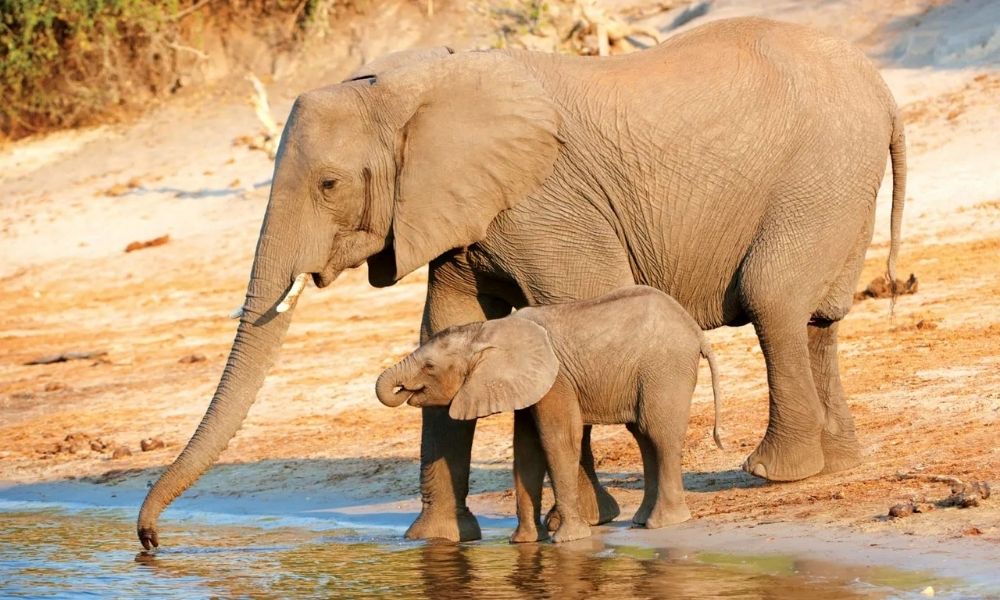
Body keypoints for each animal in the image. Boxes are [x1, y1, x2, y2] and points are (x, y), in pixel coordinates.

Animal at [376, 286, 720, 544]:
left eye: (429, 366)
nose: (403, 389)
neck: (486, 331)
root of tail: (695, 330)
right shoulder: (530, 384)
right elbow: (526, 450)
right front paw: (524, 542)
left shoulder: (556, 381)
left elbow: (558, 439)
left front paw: (568, 540)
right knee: (643, 436)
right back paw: (641, 520)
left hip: (665, 368)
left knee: (658, 433)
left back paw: (664, 522)